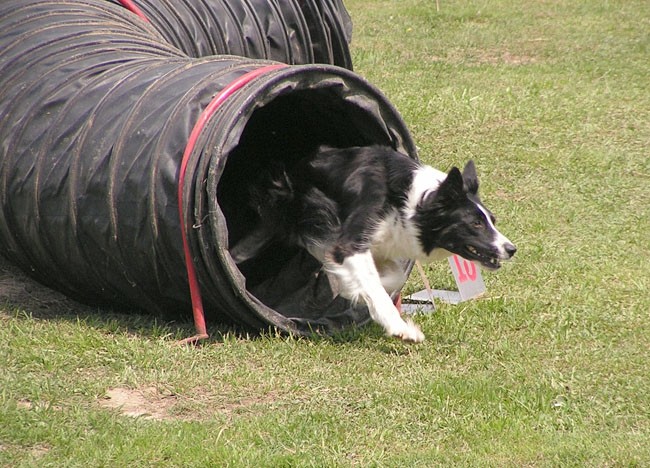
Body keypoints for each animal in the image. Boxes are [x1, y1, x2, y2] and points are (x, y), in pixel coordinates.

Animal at [230, 146, 512, 344]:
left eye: (492, 220)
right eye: (476, 224)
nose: (511, 249)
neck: (409, 201)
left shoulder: (381, 244)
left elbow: (390, 277)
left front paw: (350, 290)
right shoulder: (348, 243)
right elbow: (372, 285)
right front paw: (400, 328)